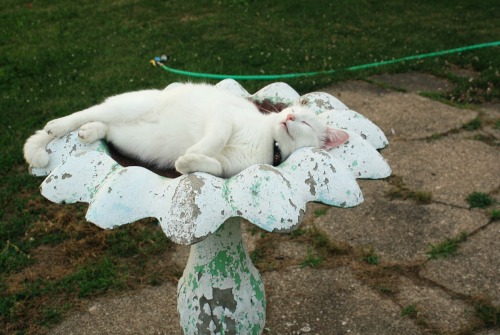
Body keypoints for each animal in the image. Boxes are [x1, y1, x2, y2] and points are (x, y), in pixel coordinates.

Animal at [23, 83, 350, 178]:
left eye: (305, 122)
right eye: (290, 112)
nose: (289, 116)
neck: (269, 142)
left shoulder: (228, 169)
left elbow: (214, 166)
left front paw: (187, 162)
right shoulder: (222, 117)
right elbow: (214, 140)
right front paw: (192, 153)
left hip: (123, 133)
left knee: (105, 128)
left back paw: (89, 133)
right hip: (125, 107)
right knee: (82, 114)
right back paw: (56, 127)